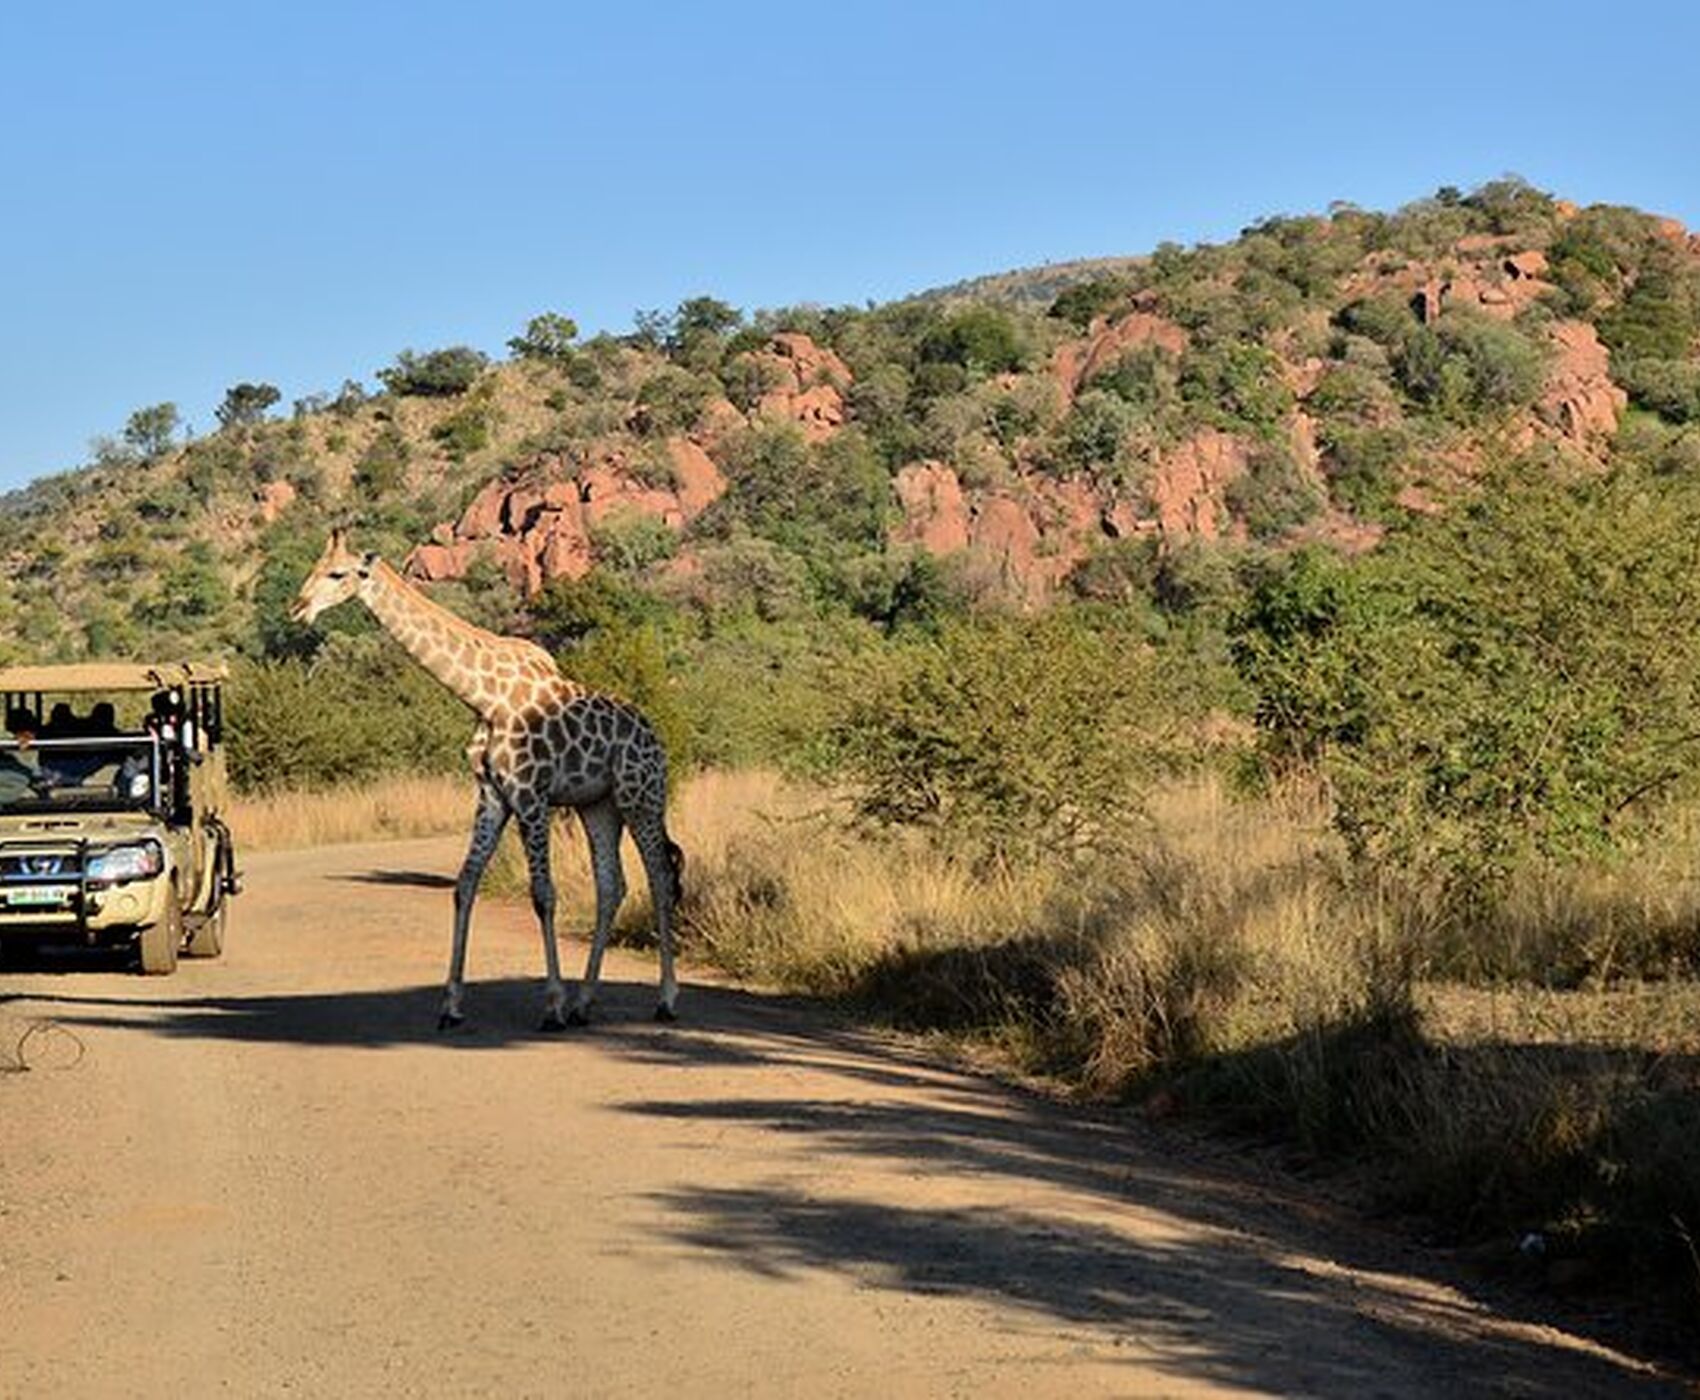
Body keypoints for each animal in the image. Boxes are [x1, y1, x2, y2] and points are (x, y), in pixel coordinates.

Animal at [290, 523, 683, 1026]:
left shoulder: (531, 795)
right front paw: (451, 1006)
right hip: (599, 805)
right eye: (315, 567)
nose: (297, 608)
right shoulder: (493, 795)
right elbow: (464, 884)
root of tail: (655, 738)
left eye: (338, 573)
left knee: (659, 876)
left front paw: (551, 1006)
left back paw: (664, 1000)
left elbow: (543, 893)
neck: (483, 697)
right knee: (613, 886)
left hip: (642, 796)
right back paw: (585, 1002)